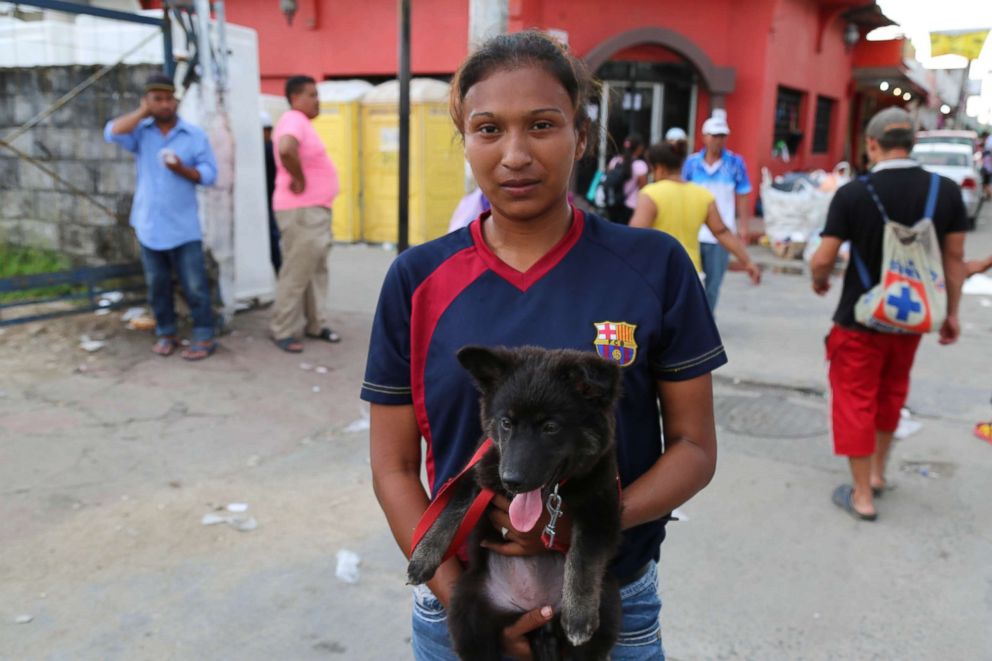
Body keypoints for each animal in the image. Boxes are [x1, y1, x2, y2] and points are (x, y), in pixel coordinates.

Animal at [404, 346, 620, 660]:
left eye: (550, 427)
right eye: (506, 423)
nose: (511, 481)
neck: (557, 491)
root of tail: (535, 615)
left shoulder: (601, 506)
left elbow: (584, 556)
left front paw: (579, 615)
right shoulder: (479, 470)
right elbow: (451, 510)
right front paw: (422, 557)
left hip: (608, 601)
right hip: (468, 612)